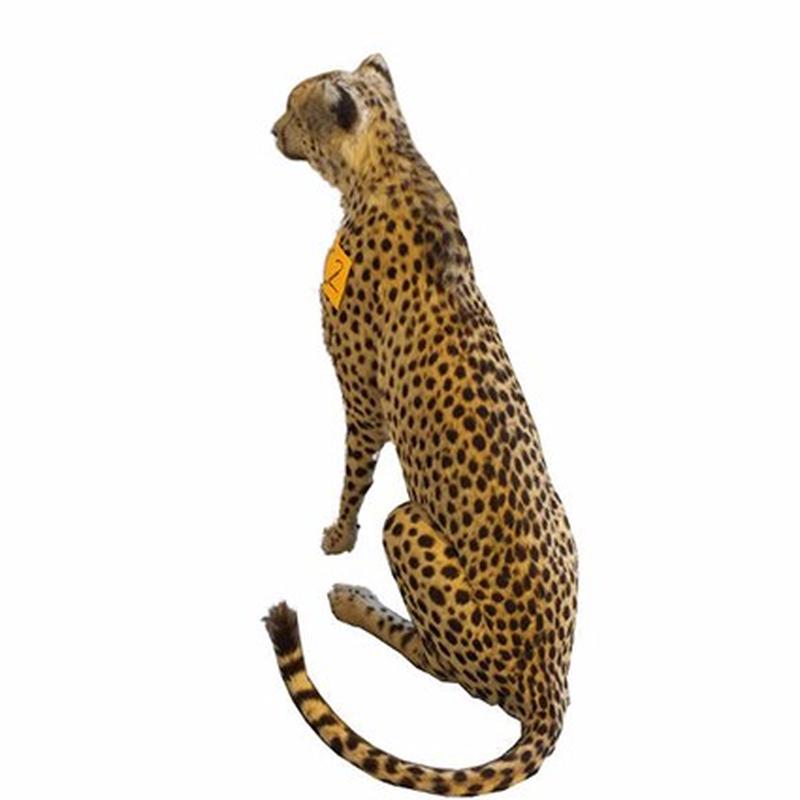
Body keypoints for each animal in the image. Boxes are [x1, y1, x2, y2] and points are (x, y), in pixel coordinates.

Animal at [264, 54, 578, 796]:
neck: (393, 159)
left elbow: (354, 472)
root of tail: (551, 685)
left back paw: (353, 602)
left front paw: (337, 536)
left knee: (438, 661)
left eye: (294, 106)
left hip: (407, 523)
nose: (270, 131)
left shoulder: (363, 396)